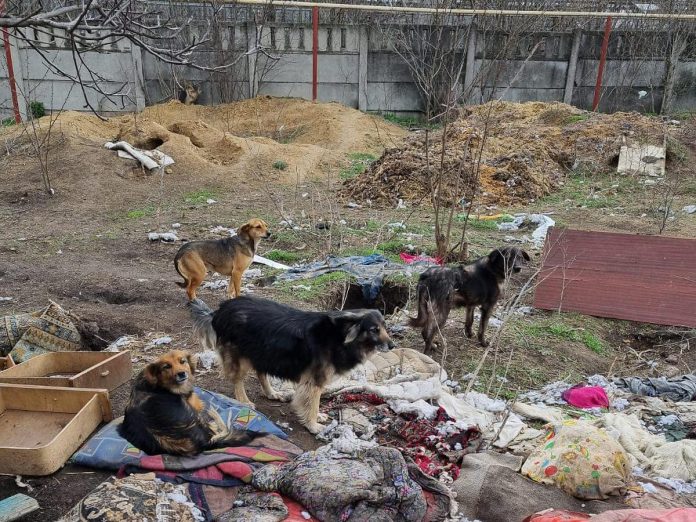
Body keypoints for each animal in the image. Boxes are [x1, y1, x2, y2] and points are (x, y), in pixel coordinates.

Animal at [188, 294, 394, 432]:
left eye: (385, 327)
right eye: (374, 329)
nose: (392, 345)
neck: (340, 336)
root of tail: (220, 310)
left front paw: (317, 418)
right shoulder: (314, 380)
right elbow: (313, 403)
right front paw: (313, 425)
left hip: (263, 351)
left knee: (261, 372)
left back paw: (272, 393)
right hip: (242, 356)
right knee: (238, 380)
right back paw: (244, 401)